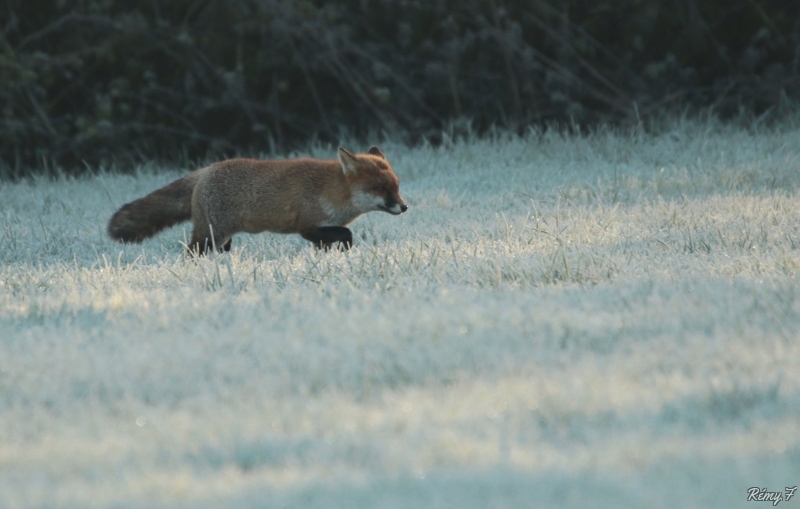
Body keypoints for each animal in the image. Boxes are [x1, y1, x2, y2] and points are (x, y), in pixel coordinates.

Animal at [106, 146, 406, 253]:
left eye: (396, 186)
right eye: (381, 188)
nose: (404, 207)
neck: (332, 192)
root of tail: (205, 170)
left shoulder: (320, 233)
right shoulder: (308, 227)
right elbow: (347, 234)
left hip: (222, 238)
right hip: (209, 235)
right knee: (191, 252)